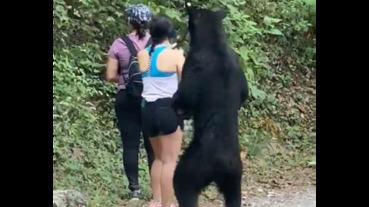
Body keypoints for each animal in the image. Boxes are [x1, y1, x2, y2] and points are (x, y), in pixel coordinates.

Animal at [172, 4, 247, 207]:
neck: (215, 43)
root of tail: (222, 163)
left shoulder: (192, 62)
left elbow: (185, 95)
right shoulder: (237, 63)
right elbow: (244, 95)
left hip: (194, 166)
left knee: (182, 184)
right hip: (235, 175)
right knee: (234, 196)